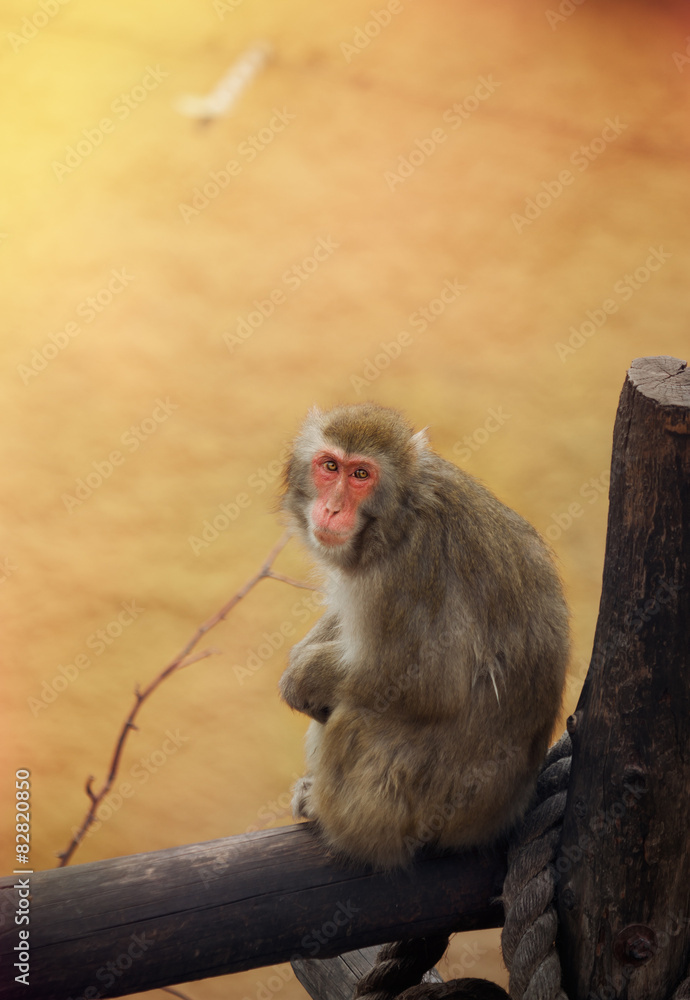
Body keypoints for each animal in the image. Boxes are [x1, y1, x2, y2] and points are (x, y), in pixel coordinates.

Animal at [278, 403, 569, 869]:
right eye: (330, 466)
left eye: (361, 475)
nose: (332, 509)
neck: (399, 514)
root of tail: (502, 814)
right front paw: (300, 661)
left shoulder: (413, 568)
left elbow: (431, 682)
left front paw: (303, 677)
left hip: (424, 805)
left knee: (356, 715)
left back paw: (336, 824)